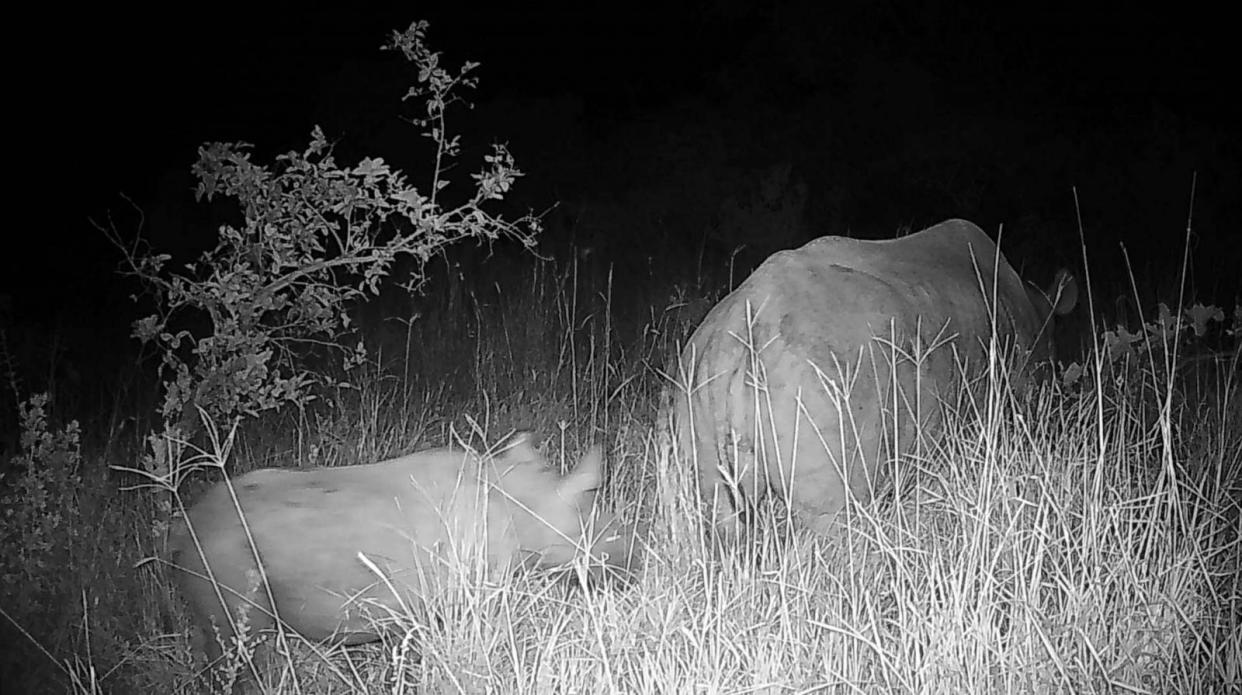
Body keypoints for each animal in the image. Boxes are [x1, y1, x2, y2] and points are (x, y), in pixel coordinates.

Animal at [166, 431, 630, 670]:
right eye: (590, 516)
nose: (632, 562)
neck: (522, 505)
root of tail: (180, 531)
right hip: (223, 569)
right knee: (240, 647)